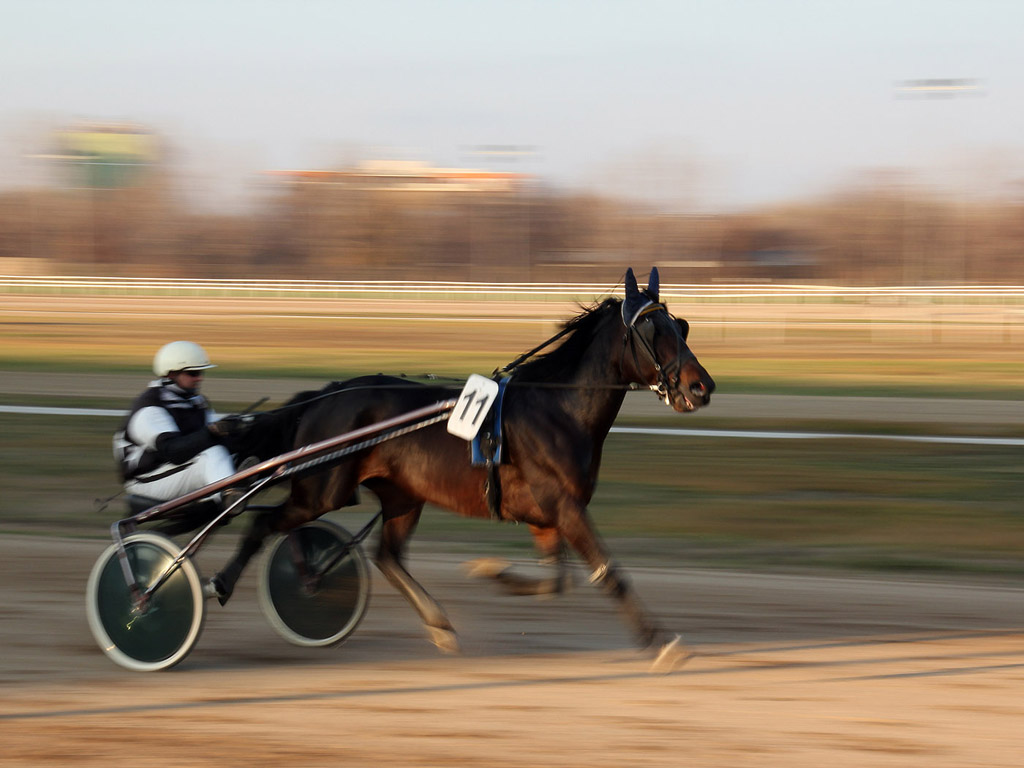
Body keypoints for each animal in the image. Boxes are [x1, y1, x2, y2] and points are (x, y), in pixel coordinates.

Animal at [211, 268, 716, 659]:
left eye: (682, 325)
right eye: (653, 332)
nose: (702, 387)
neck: (559, 408)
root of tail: (323, 395)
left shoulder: (547, 515)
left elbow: (558, 582)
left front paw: (494, 573)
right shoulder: (564, 506)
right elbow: (609, 573)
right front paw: (660, 641)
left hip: (402, 496)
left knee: (386, 557)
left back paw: (439, 624)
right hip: (321, 490)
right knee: (264, 523)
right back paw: (228, 581)